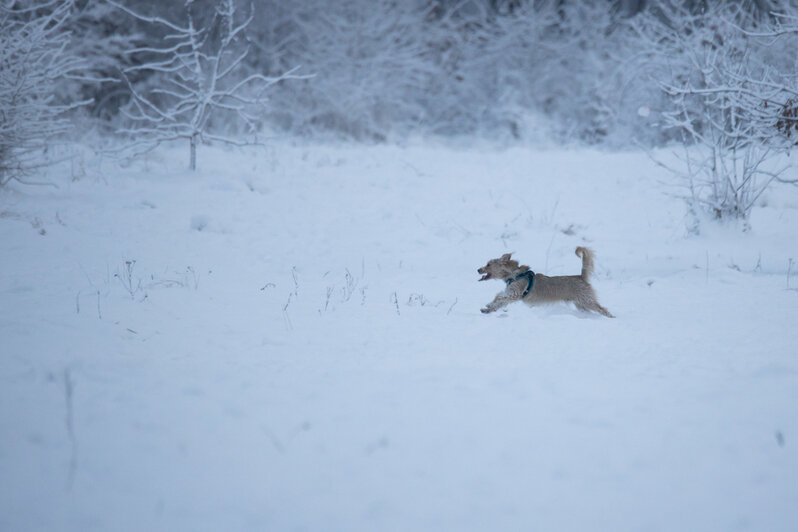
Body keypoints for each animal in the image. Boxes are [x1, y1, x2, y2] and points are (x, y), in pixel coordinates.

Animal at [478, 246, 616, 316]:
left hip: (587, 301)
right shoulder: (510, 294)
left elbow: (500, 298)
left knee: (603, 309)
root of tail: (581, 276)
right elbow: (499, 300)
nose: (478, 269)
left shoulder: (514, 293)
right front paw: (488, 309)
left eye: (488, 264)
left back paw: (611, 317)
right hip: (581, 304)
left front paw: (489, 306)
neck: (514, 274)